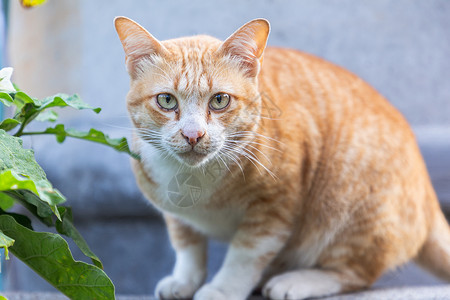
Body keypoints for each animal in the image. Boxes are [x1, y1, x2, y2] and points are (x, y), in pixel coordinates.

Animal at [113, 17, 450, 300]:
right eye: (166, 100)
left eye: (219, 100)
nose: (193, 135)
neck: (195, 184)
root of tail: (428, 192)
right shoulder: (175, 214)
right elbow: (187, 245)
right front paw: (185, 280)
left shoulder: (275, 207)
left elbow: (244, 255)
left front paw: (221, 289)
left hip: (353, 212)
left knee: (355, 273)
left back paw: (296, 281)